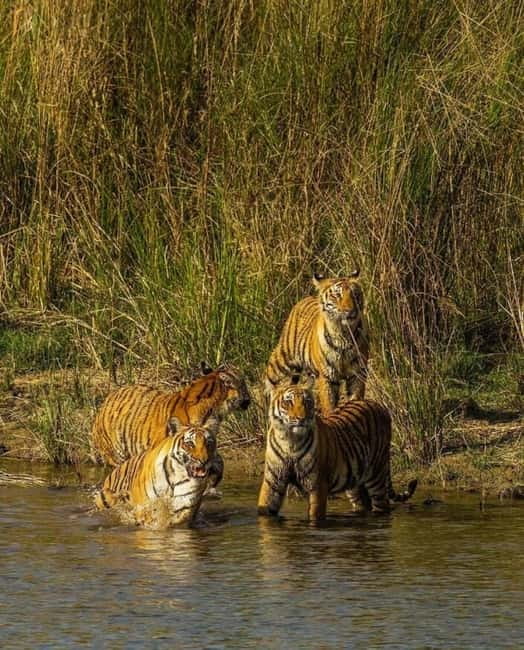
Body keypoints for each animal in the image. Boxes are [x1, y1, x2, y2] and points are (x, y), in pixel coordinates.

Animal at [257, 376, 417, 522]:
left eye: (307, 402)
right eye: (288, 402)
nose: (302, 418)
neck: (289, 441)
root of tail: (377, 404)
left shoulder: (317, 484)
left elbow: (315, 515)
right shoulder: (273, 480)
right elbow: (265, 507)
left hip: (376, 474)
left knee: (382, 505)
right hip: (354, 481)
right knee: (363, 504)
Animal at [265, 270, 369, 415]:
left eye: (355, 294)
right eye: (337, 295)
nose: (350, 311)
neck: (343, 333)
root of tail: (304, 299)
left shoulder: (358, 372)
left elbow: (356, 397)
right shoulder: (326, 377)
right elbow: (329, 405)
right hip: (282, 360)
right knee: (269, 380)